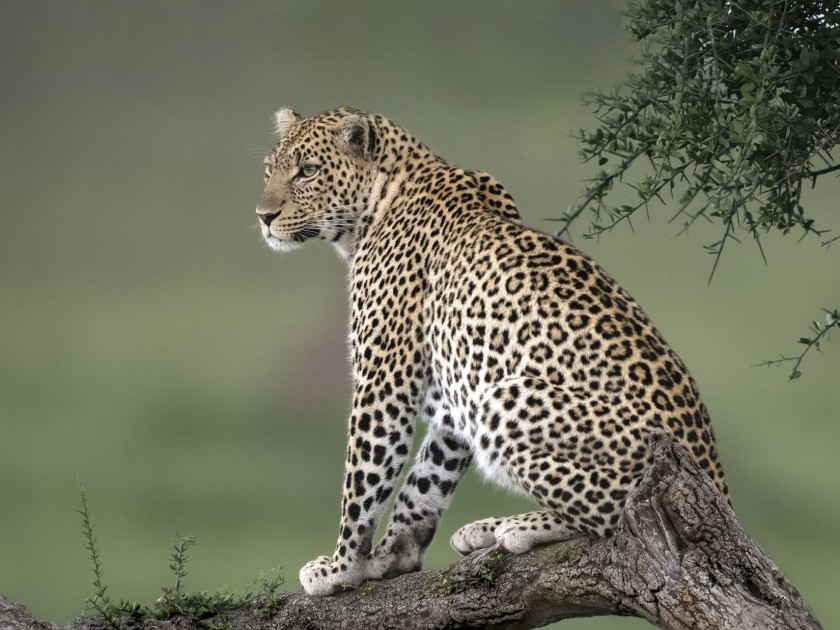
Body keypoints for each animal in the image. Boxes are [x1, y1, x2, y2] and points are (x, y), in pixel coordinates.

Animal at [254, 106, 728, 596]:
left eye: (308, 171)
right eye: (270, 171)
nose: (264, 216)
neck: (379, 203)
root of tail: (716, 484)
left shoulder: (385, 378)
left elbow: (364, 474)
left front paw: (340, 566)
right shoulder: (452, 391)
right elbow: (424, 480)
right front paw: (393, 555)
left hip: (508, 398)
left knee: (612, 512)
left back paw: (517, 526)